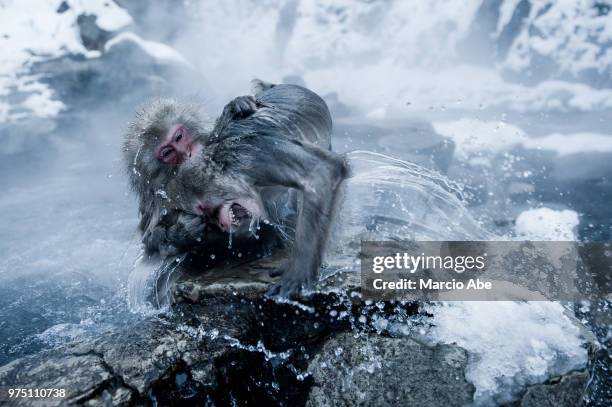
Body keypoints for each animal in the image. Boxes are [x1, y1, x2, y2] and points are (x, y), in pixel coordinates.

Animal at [122, 80, 346, 296]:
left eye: (179, 137)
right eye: (168, 153)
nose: (187, 155)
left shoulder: (249, 154)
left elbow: (320, 172)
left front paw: (299, 270)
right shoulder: (155, 203)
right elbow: (150, 241)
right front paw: (184, 231)